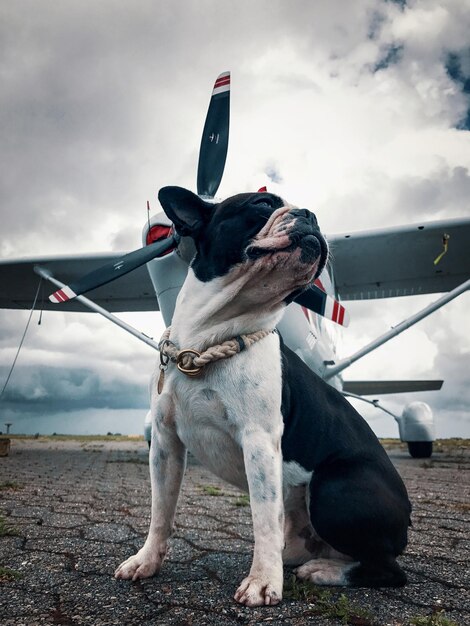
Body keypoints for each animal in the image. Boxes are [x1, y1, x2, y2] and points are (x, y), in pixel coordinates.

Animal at [116, 185, 412, 604]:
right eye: (261, 204)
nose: (311, 214)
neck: (206, 343)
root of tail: (407, 520)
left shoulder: (258, 440)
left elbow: (263, 517)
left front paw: (262, 582)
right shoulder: (165, 443)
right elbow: (161, 510)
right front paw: (146, 561)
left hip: (332, 487)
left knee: (388, 569)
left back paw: (323, 571)